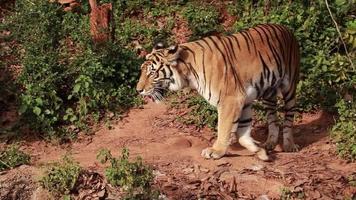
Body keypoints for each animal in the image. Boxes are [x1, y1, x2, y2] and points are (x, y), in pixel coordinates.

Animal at [136, 23, 300, 161]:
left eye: (152, 73)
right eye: (142, 71)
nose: (138, 90)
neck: (187, 71)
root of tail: (286, 28)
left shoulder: (231, 99)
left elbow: (224, 127)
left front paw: (216, 151)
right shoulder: (244, 100)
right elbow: (242, 134)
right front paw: (260, 151)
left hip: (290, 87)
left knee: (289, 116)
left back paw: (289, 145)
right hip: (269, 93)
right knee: (272, 116)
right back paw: (270, 142)